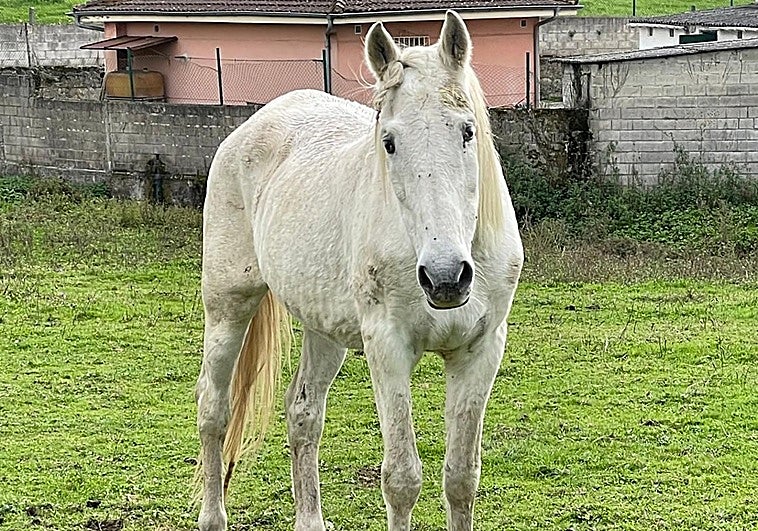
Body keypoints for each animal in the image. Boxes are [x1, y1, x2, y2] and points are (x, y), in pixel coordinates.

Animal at [195, 11, 523, 531]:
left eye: (467, 131)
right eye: (389, 142)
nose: (446, 277)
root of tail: (252, 126)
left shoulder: (480, 350)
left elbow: (461, 477)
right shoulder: (387, 346)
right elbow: (402, 478)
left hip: (323, 328)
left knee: (303, 413)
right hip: (229, 303)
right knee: (213, 408)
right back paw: (213, 516)